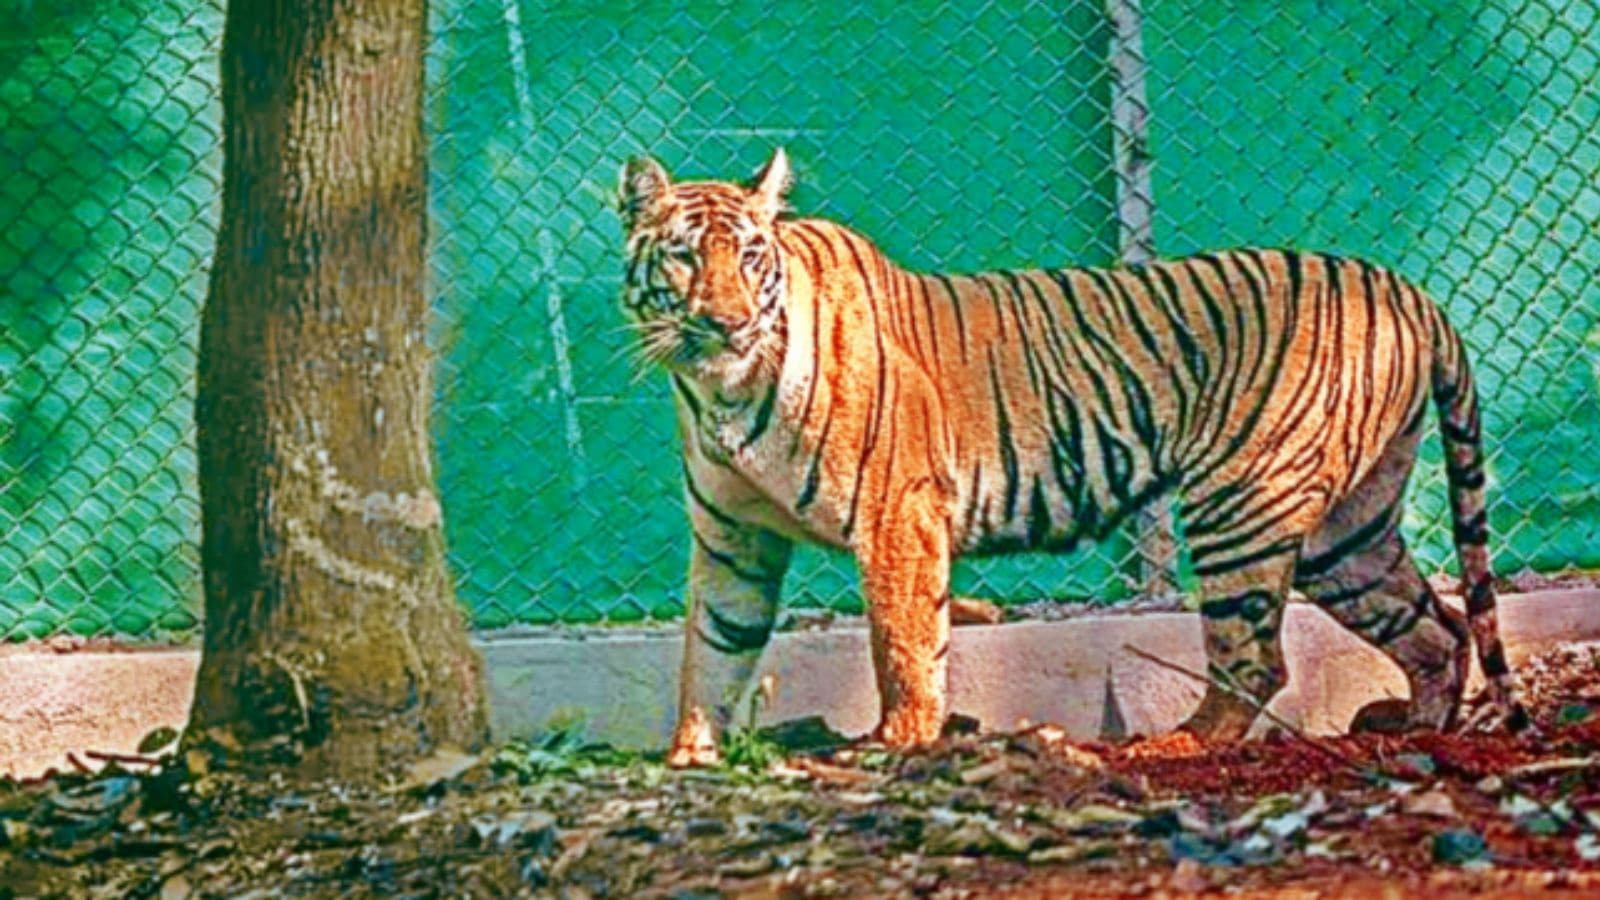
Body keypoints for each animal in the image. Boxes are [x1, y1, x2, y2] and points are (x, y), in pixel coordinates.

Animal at [615, 148, 1527, 767]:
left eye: (750, 257)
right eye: (684, 255)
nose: (728, 323)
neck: (722, 389)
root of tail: (1410, 289)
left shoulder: (896, 513)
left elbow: (903, 644)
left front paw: (898, 743)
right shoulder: (733, 539)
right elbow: (714, 648)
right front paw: (689, 756)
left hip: (1243, 503)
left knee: (1257, 658)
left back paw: (1174, 747)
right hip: (1348, 531)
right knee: (1436, 628)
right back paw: (1417, 731)